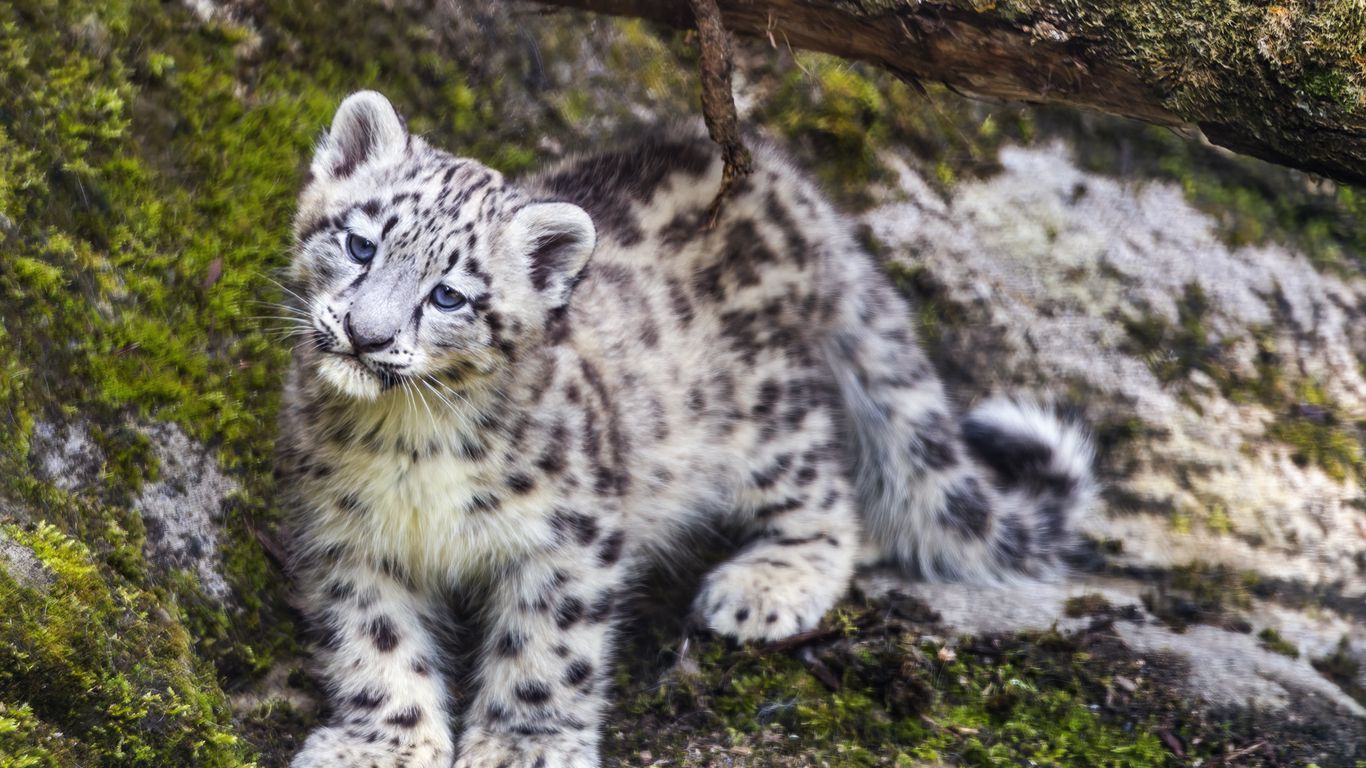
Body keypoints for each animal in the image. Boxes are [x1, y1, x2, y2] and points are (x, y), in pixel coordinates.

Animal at [276, 90, 1097, 768]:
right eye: (359, 245)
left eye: (450, 296)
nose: (366, 335)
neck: (407, 443)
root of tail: (792, 189)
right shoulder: (345, 536)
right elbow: (373, 641)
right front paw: (378, 745)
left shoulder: (572, 534)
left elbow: (549, 647)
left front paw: (524, 746)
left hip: (766, 415)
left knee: (830, 495)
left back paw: (767, 584)